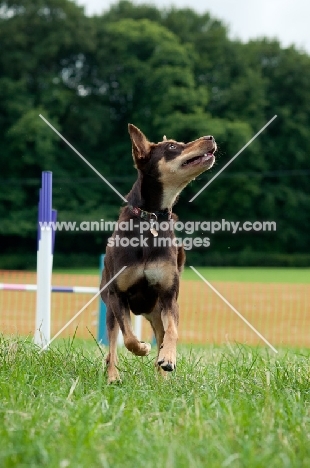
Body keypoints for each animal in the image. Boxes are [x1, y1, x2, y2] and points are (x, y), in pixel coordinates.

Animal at [100, 124, 216, 384]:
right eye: (172, 146)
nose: (211, 137)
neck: (150, 218)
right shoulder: (117, 296)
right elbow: (128, 337)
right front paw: (141, 348)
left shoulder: (168, 296)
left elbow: (172, 331)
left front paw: (168, 359)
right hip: (110, 307)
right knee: (113, 341)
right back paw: (113, 376)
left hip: (155, 311)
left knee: (162, 334)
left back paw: (163, 375)